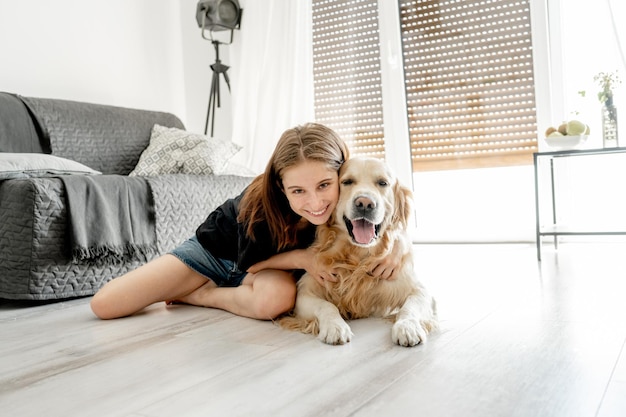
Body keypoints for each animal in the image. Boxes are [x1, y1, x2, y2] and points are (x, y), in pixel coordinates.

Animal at [280, 156, 436, 344]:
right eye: (347, 182)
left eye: (382, 183)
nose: (365, 203)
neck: (358, 256)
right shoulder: (305, 292)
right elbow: (326, 305)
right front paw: (335, 327)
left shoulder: (419, 290)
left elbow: (410, 307)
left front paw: (407, 327)